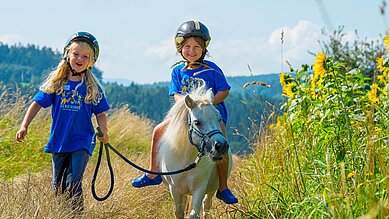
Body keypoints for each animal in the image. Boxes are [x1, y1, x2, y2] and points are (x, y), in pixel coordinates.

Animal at [157, 83, 230, 218]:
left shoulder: (199, 188)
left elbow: (194, 214)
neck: (186, 160)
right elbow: (179, 213)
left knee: (206, 206)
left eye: (219, 119)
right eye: (197, 122)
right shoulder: (175, 190)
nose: (221, 146)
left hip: (210, 190)